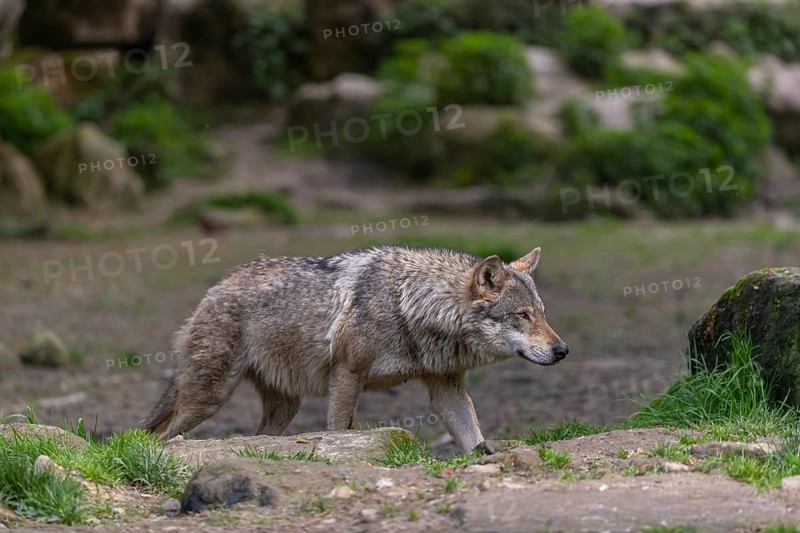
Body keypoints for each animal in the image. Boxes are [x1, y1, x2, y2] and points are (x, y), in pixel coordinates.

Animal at [143, 245, 568, 453]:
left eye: (544, 314)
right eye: (523, 315)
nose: (562, 351)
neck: (412, 305)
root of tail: (213, 290)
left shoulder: (447, 388)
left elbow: (473, 438)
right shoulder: (347, 376)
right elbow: (339, 430)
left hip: (284, 409)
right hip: (208, 399)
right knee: (162, 437)